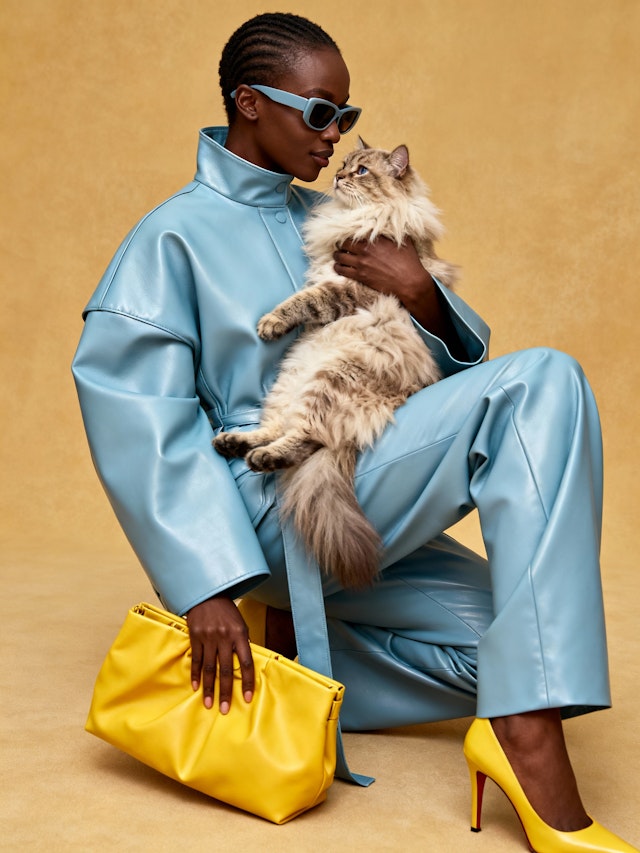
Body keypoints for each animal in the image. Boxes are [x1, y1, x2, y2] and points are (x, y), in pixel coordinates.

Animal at [214, 139, 459, 589]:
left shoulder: (352, 287)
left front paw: (270, 323)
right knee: (277, 428)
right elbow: (307, 295)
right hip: (290, 381)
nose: (339, 176)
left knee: (305, 439)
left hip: (329, 379)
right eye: (344, 164)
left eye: (362, 171)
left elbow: (305, 300)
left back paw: (261, 458)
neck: (355, 214)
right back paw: (233, 443)